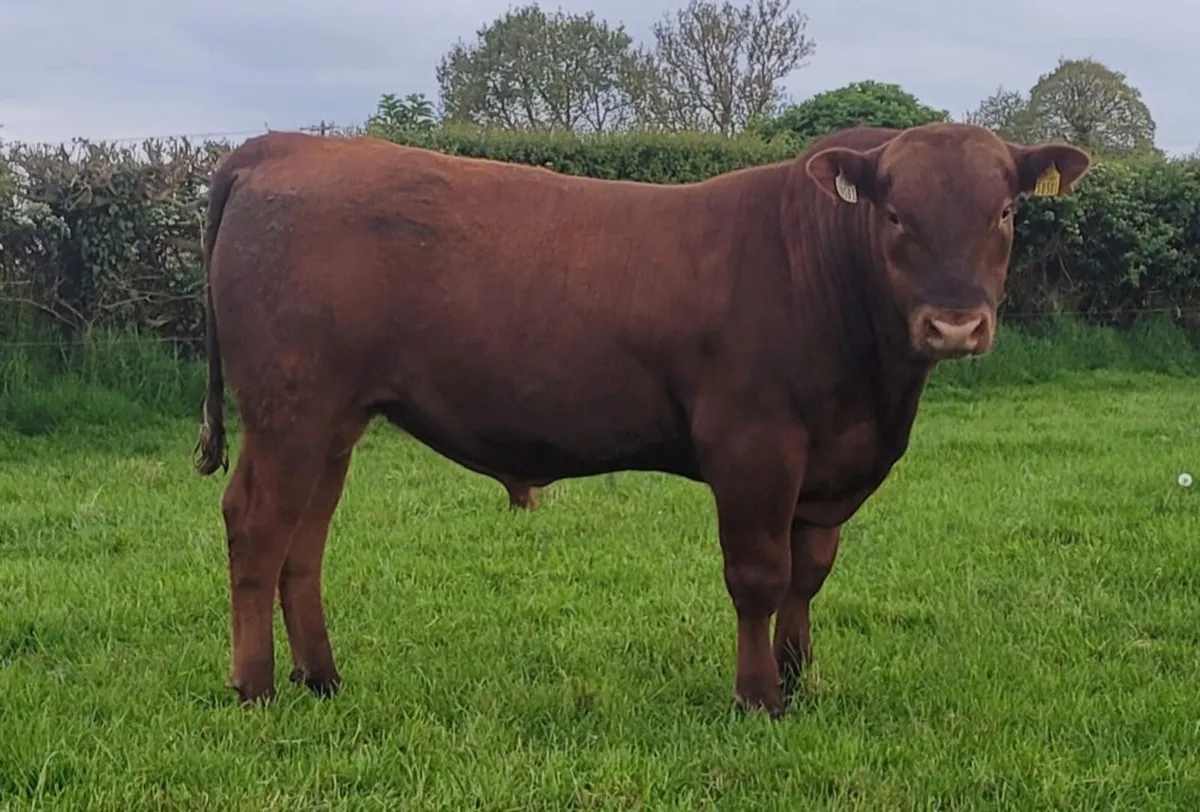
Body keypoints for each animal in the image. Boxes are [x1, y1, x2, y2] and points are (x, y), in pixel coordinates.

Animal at [192, 122, 1090, 717]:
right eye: (895, 215)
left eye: (1005, 212)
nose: (955, 325)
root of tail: (284, 144)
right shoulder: (753, 446)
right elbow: (758, 575)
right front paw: (758, 695)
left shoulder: (828, 462)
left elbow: (808, 573)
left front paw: (801, 677)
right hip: (289, 409)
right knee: (256, 528)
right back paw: (255, 686)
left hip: (334, 422)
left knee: (304, 544)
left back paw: (321, 677)